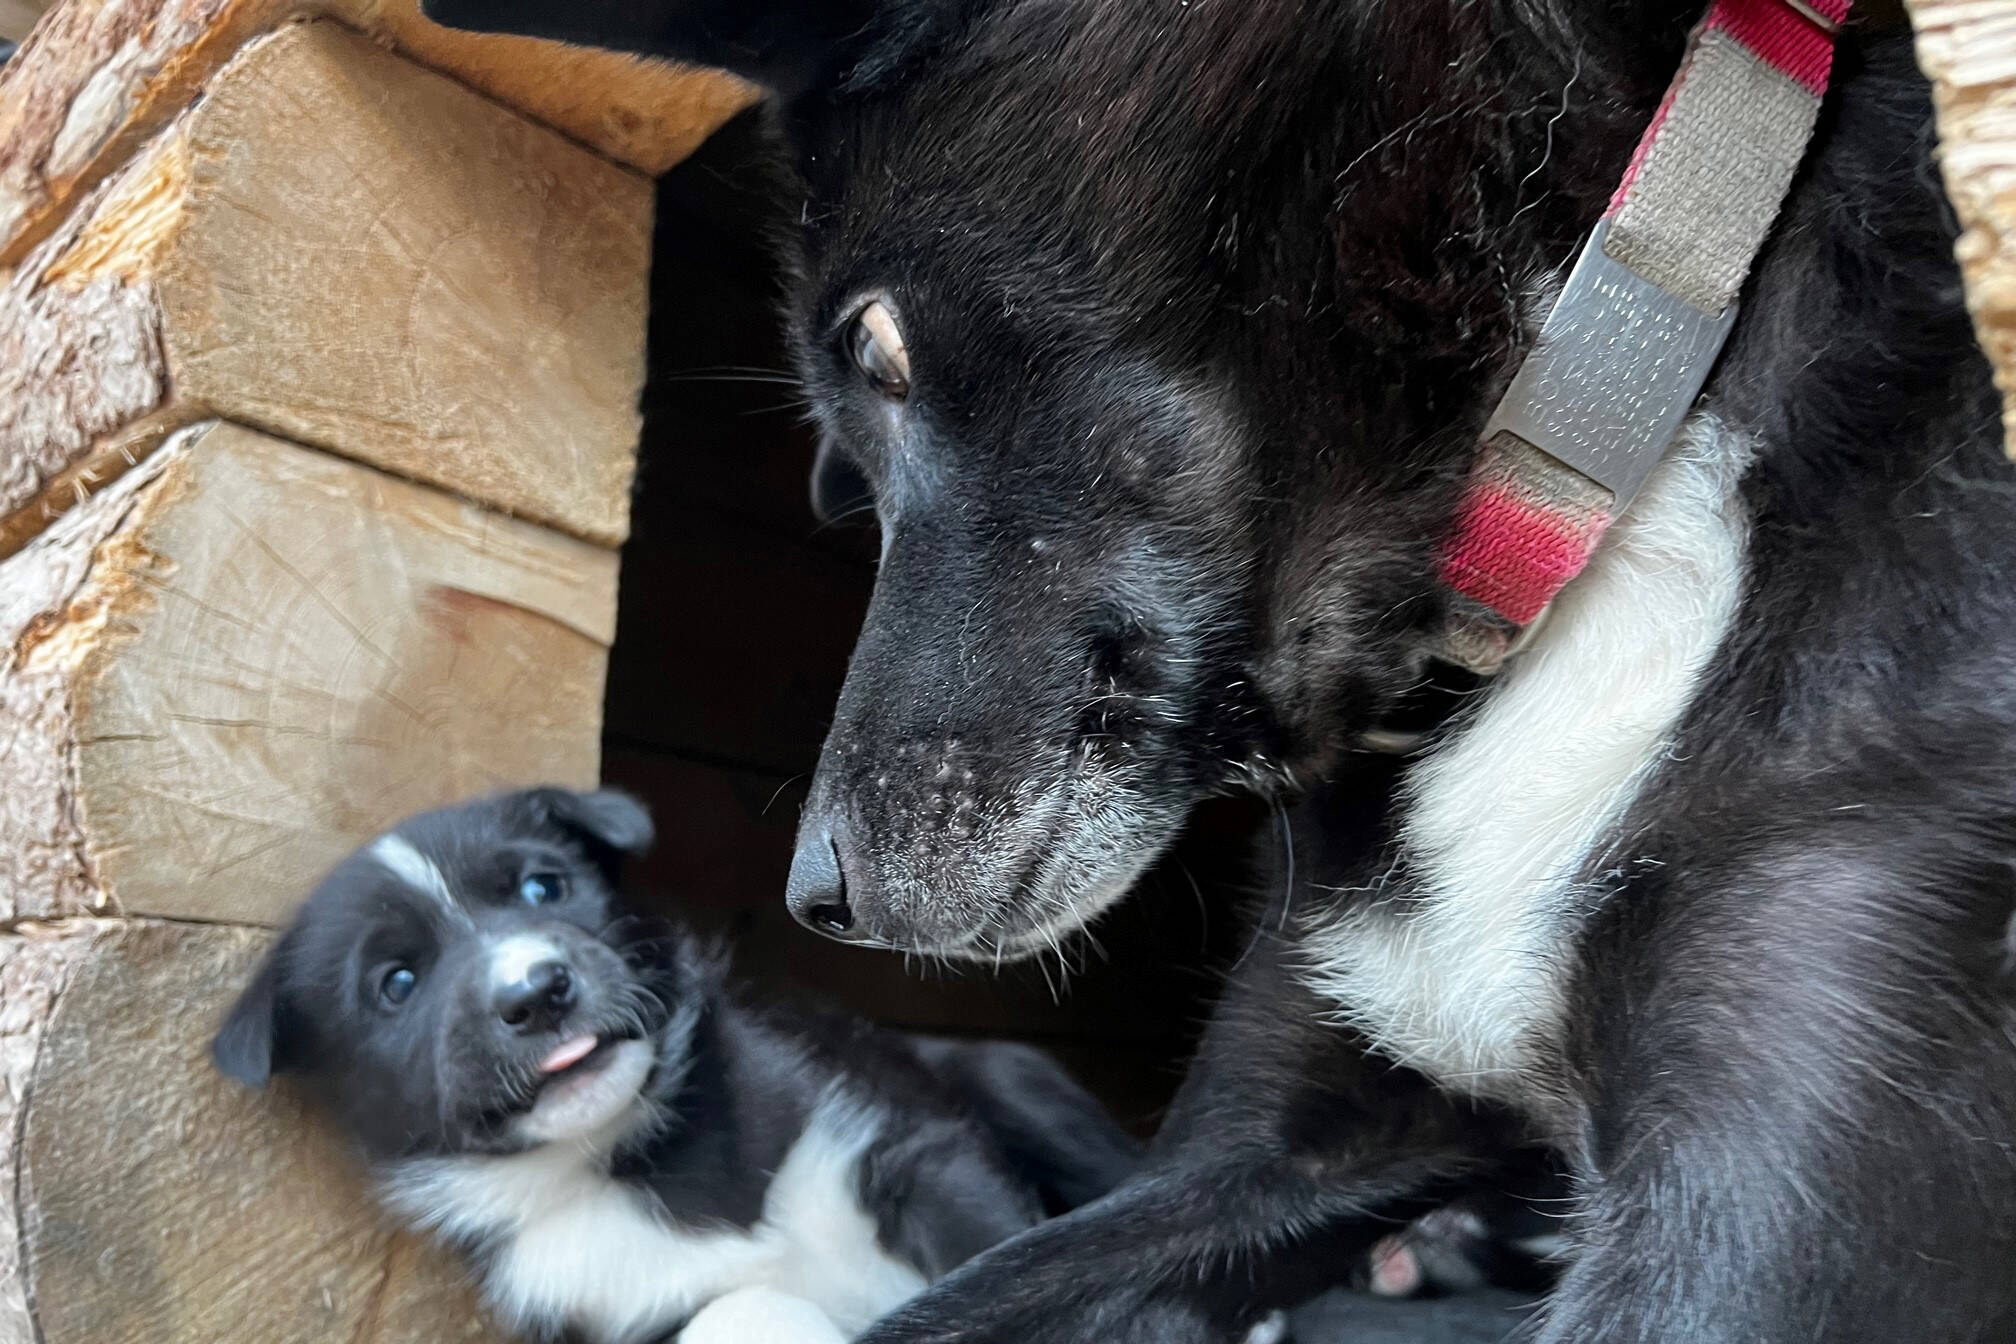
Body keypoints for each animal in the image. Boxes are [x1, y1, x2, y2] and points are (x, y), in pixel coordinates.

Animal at [216, 789, 1153, 1344]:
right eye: (397, 984)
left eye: (543, 888)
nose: (538, 992)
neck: (634, 1159)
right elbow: (743, 1308)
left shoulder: (909, 1146)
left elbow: (1013, 1264)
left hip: (1016, 1080)